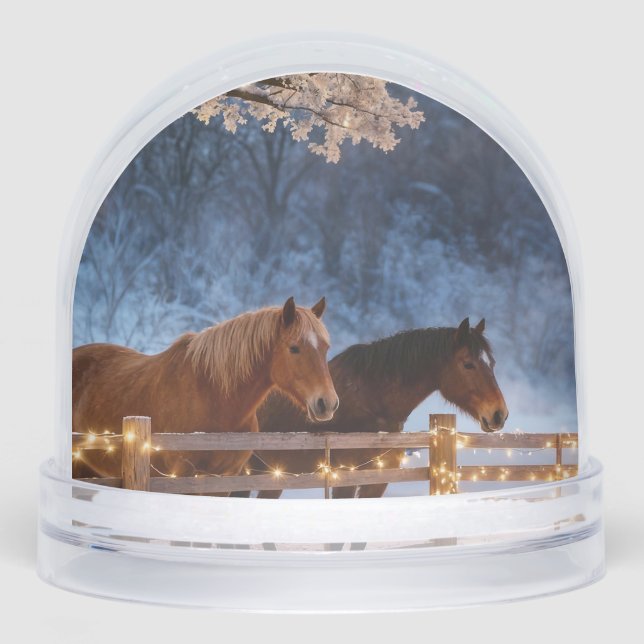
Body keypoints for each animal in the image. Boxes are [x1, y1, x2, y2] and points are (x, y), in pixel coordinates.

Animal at [243, 317, 508, 500]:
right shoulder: (345, 480)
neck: (372, 402)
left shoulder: (377, 481)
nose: (499, 414)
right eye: (468, 364)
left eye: (493, 363)